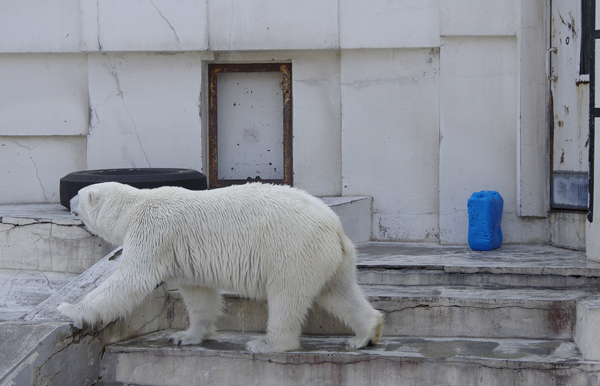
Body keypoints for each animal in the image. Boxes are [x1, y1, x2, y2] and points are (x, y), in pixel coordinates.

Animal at [57, 182, 384, 352]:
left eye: (79, 194)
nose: (69, 201)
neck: (134, 205)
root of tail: (335, 226)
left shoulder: (154, 230)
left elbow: (131, 278)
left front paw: (69, 309)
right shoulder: (185, 255)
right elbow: (199, 294)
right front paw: (185, 336)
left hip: (292, 250)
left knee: (286, 297)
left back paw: (267, 343)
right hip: (331, 258)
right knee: (339, 292)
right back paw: (365, 334)